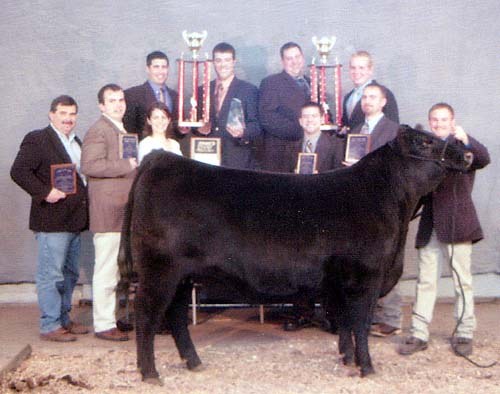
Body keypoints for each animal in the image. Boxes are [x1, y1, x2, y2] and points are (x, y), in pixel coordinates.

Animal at [119, 127, 470, 384]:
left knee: (177, 315)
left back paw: (193, 363)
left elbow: (345, 324)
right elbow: (360, 323)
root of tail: (160, 160)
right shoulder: (365, 278)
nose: (466, 152)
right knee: (147, 315)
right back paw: (150, 373)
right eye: (426, 141)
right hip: (160, 271)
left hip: (182, 276)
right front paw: (367, 367)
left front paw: (347, 358)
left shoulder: (342, 282)